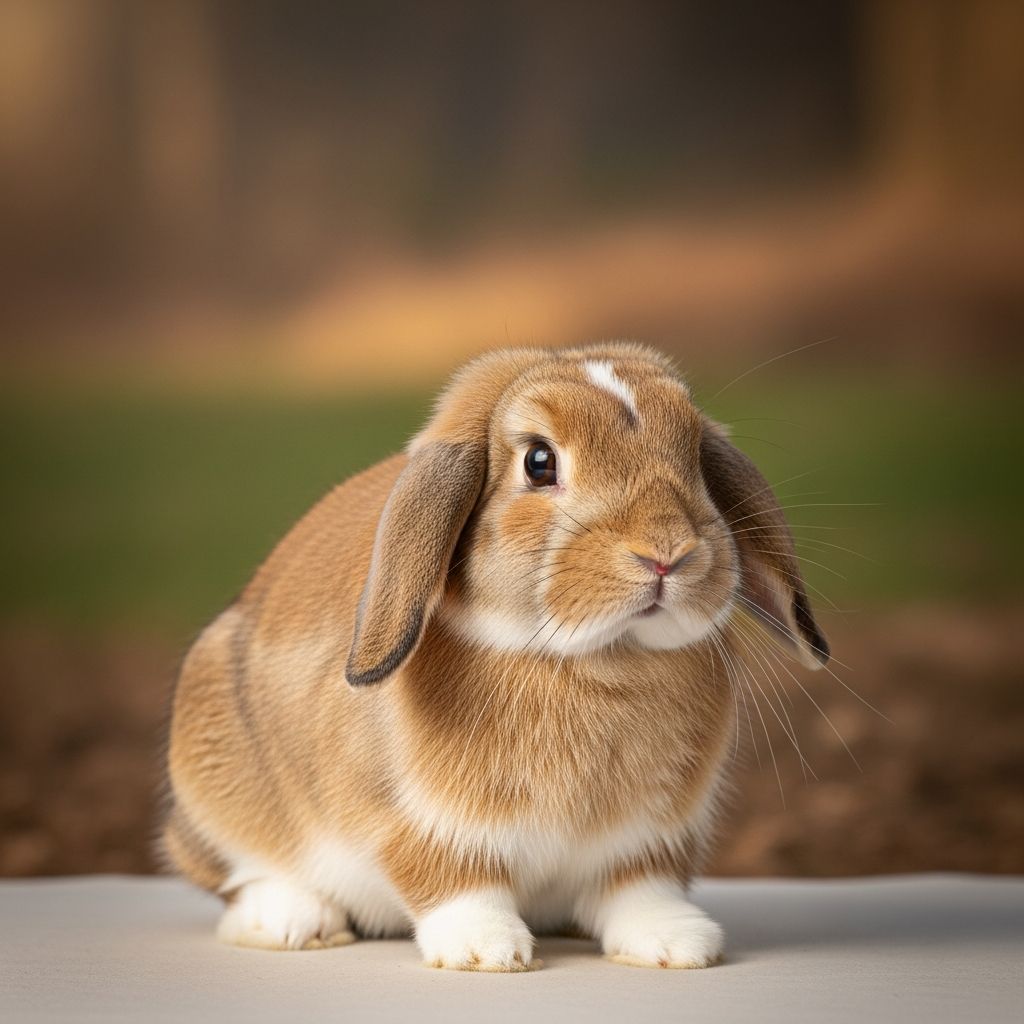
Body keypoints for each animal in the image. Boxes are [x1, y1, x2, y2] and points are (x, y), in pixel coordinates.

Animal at [162, 342, 828, 971]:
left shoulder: (651, 837)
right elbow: (454, 880)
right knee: (242, 874)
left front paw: (677, 944)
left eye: (694, 457)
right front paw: (485, 951)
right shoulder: (419, 824)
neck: (596, 658)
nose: (666, 552)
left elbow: (641, 889)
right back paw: (292, 923)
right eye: (539, 462)